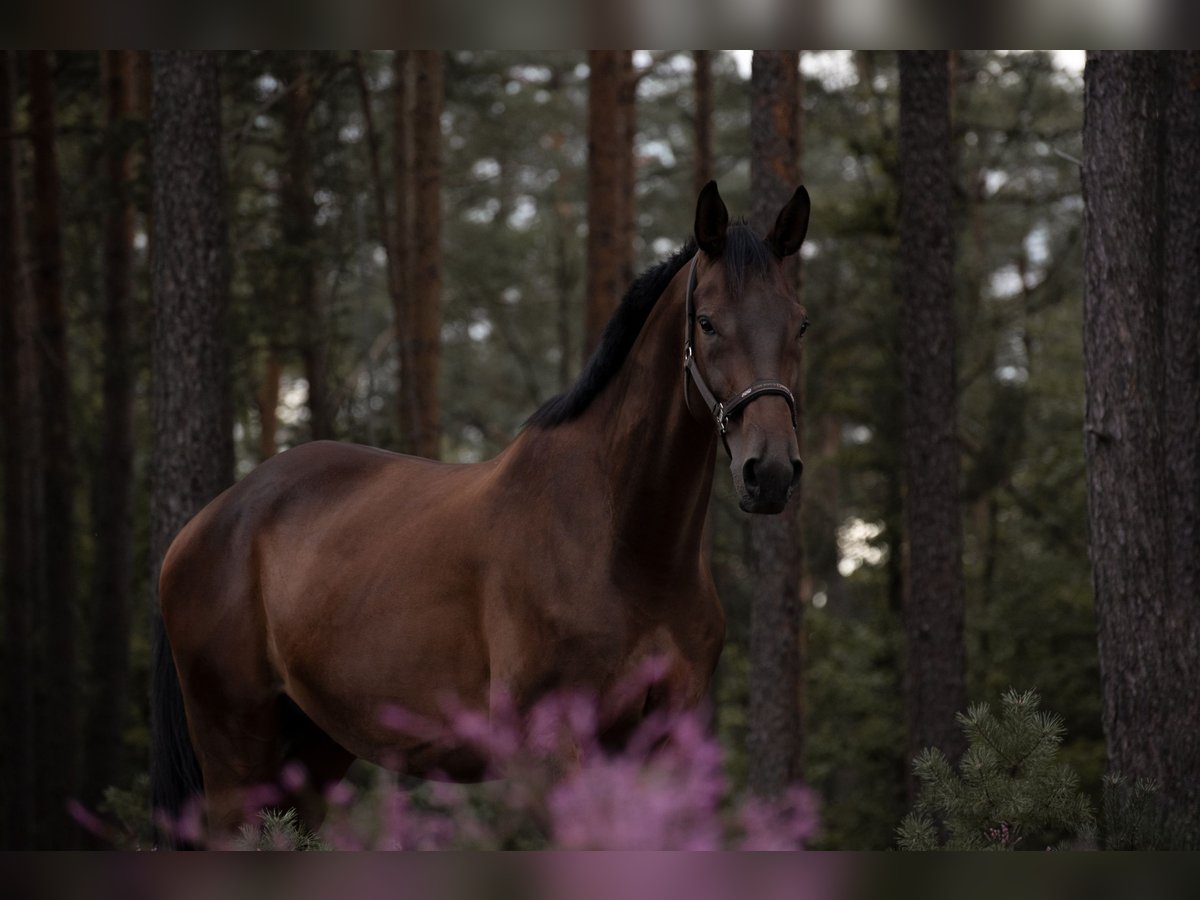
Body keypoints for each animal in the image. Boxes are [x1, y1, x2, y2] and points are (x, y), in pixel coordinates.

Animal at [147, 181, 806, 844]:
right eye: (707, 322)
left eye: (799, 324)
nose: (771, 472)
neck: (624, 548)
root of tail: (205, 523)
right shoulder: (547, 750)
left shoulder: (665, 745)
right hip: (234, 755)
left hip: (314, 750)